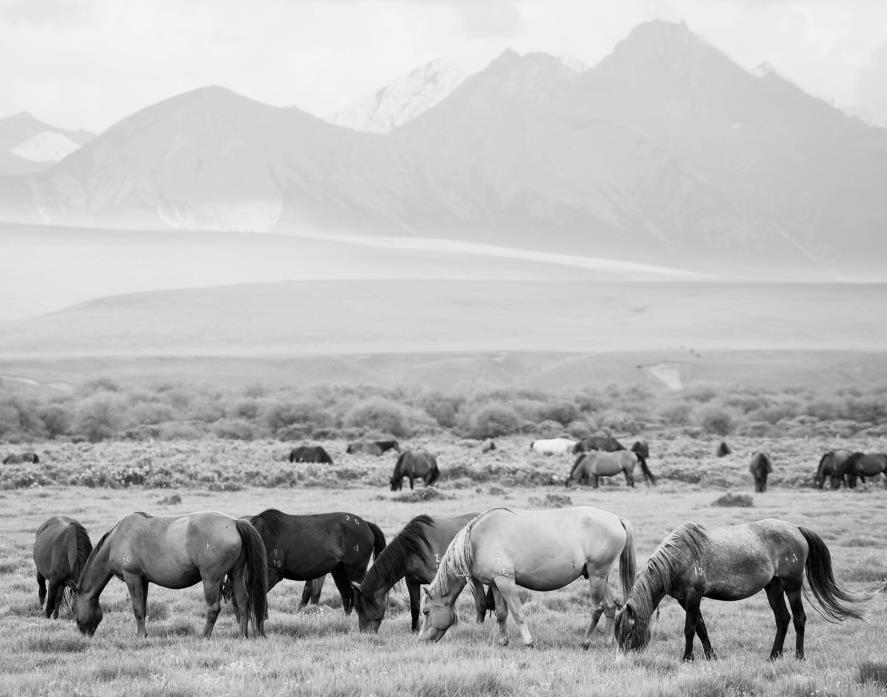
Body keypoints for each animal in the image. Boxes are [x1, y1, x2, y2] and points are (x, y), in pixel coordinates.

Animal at [74, 511, 267, 638]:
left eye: (74, 612)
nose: (84, 634)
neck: (118, 538)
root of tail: (235, 523)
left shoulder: (132, 577)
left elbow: (137, 608)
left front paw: (140, 636)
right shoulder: (143, 581)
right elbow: (143, 607)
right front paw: (144, 633)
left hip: (211, 579)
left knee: (213, 608)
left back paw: (203, 636)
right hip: (236, 574)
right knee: (243, 601)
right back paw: (242, 635)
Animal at [352, 513, 491, 633]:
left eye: (362, 607)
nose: (364, 633)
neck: (415, 548)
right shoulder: (412, 582)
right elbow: (415, 607)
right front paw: (414, 630)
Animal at [419, 506, 636, 649]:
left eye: (426, 611)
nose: (421, 639)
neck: (478, 540)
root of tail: (617, 519)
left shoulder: (506, 582)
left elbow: (517, 612)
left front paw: (528, 642)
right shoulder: (496, 584)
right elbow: (501, 613)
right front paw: (503, 641)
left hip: (596, 577)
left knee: (597, 608)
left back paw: (585, 642)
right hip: (598, 576)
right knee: (610, 607)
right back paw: (608, 641)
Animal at [614, 519, 866, 661]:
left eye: (630, 630)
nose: (623, 658)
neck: (679, 557)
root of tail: (796, 529)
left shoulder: (694, 596)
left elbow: (689, 629)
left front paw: (687, 658)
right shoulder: (685, 600)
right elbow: (701, 628)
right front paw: (711, 656)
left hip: (792, 585)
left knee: (799, 619)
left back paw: (798, 656)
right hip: (773, 587)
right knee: (782, 619)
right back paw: (773, 656)